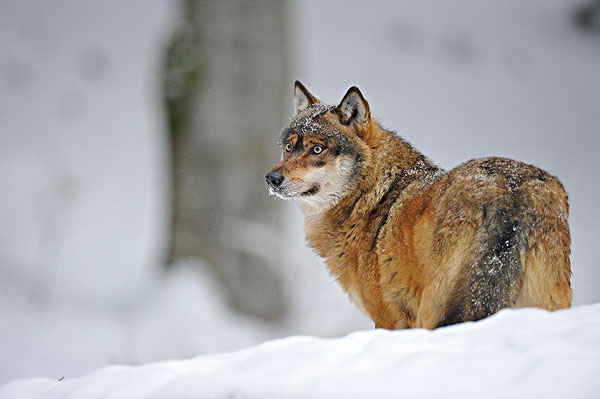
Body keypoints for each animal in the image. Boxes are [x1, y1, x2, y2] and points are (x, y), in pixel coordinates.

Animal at [264, 82, 568, 332]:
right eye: (289, 147)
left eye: (317, 149)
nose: (271, 178)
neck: (371, 196)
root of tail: (509, 191)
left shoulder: (387, 321)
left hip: (433, 311)